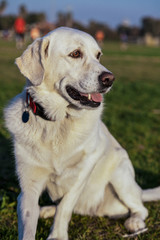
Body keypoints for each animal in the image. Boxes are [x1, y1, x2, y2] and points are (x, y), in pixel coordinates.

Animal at [4, 27, 160, 239]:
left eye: (98, 55)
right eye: (76, 54)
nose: (110, 79)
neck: (58, 121)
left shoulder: (85, 166)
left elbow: (65, 205)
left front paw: (57, 235)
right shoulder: (29, 185)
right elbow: (29, 223)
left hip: (120, 173)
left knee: (140, 208)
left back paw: (134, 222)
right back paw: (47, 209)